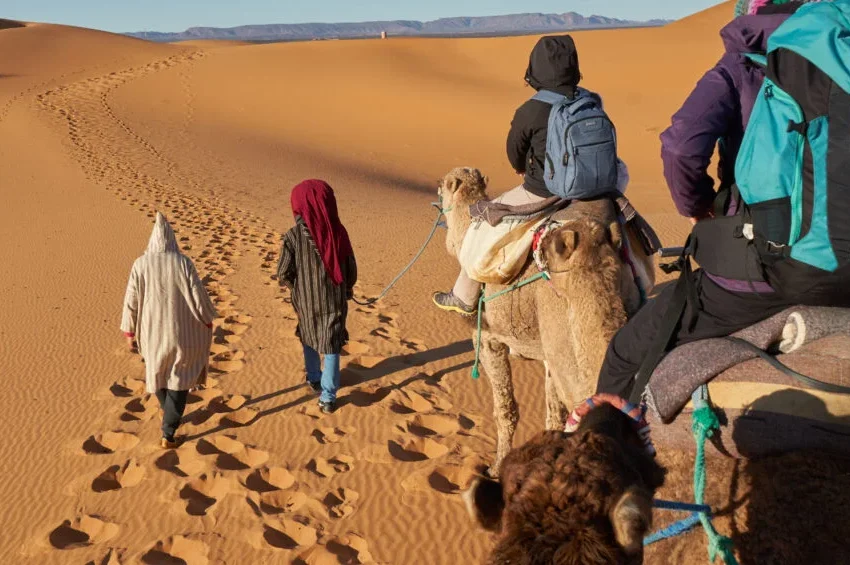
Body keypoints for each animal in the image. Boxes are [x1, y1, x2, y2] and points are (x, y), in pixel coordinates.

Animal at [439, 167, 653, 475]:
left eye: (441, 185)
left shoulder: (489, 338)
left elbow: (505, 409)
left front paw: (495, 468)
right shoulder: (549, 356)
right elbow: (553, 417)